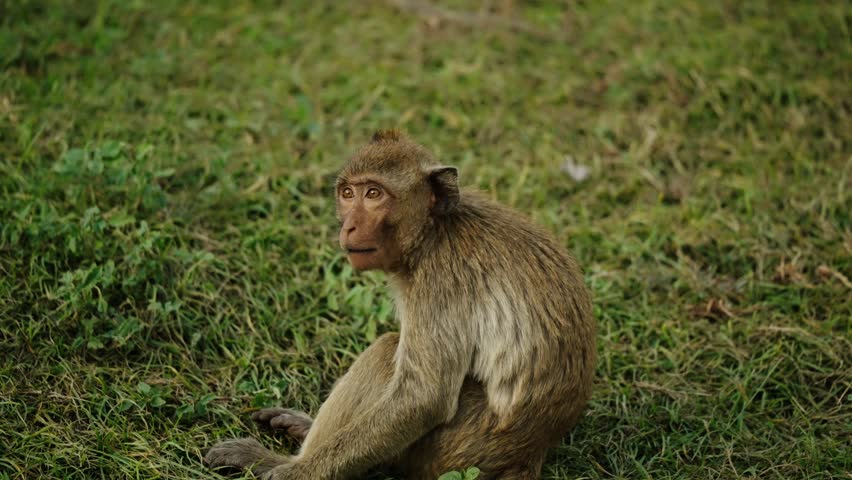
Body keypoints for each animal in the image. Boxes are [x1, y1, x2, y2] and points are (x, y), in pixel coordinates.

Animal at [204, 130, 596, 479]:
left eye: (374, 194)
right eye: (348, 193)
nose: (348, 227)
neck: (433, 231)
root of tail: (529, 453)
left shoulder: (441, 280)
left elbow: (424, 398)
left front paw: (293, 473)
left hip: (455, 447)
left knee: (386, 351)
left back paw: (280, 461)